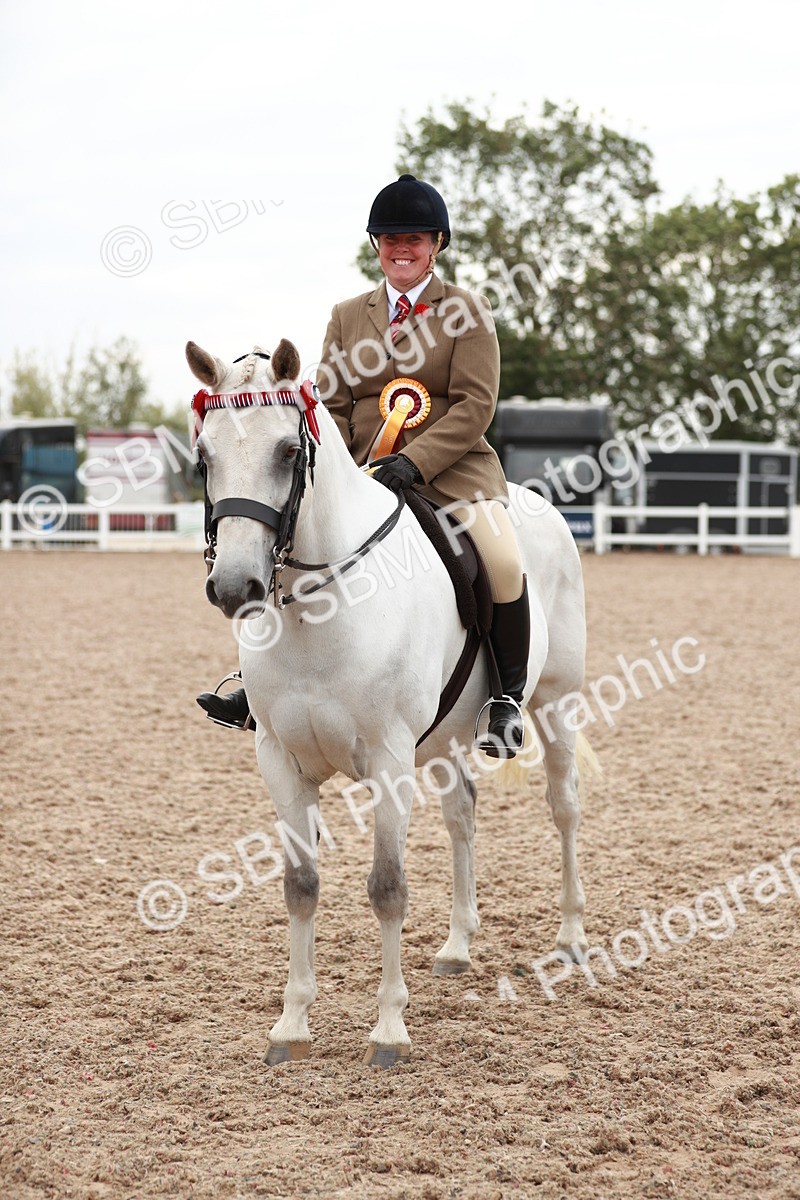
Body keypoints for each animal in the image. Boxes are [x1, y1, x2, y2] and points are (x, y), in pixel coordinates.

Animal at [187, 337, 589, 1068]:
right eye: (205, 456)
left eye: (287, 452)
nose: (235, 587)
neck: (317, 611)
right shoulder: (279, 762)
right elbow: (301, 886)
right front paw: (292, 1025)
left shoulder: (389, 762)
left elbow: (387, 888)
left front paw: (389, 1029)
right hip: (451, 738)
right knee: (463, 817)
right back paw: (458, 945)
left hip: (555, 705)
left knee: (564, 808)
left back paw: (572, 938)